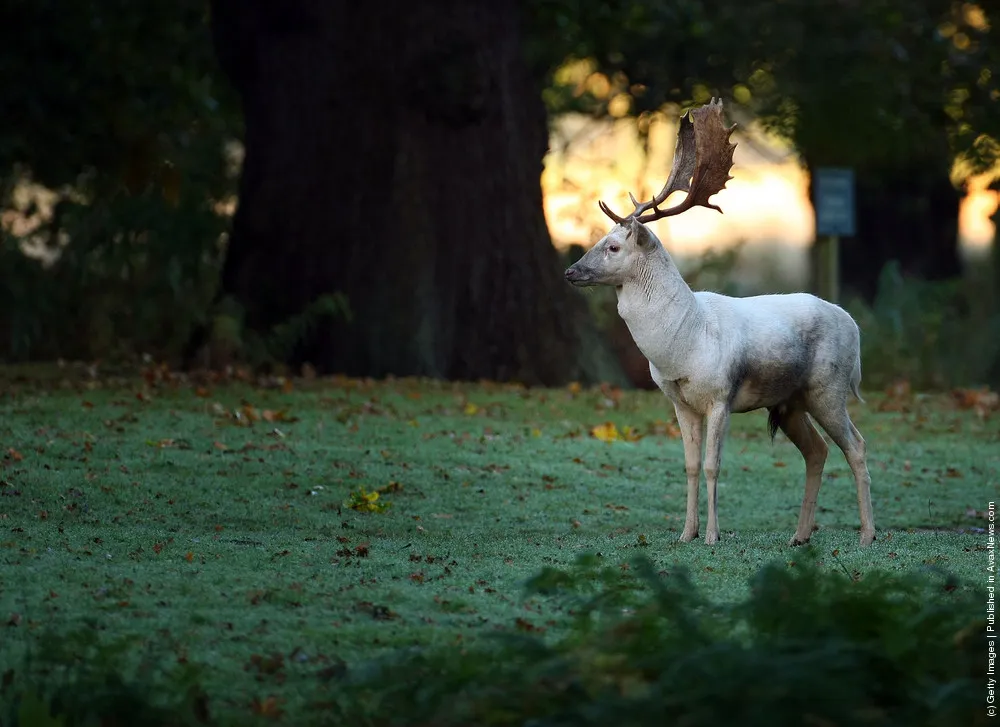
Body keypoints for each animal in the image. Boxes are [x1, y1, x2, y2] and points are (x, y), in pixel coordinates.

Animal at [564, 99, 876, 548]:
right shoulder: (680, 402)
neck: (683, 344)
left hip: (829, 387)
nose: (571, 271)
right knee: (817, 451)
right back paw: (799, 536)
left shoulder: (720, 394)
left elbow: (713, 465)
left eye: (613, 246)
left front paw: (711, 536)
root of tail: (853, 324)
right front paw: (686, 533)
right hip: (791, 400)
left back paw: (867, 534)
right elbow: (691, 465)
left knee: (857, 446)